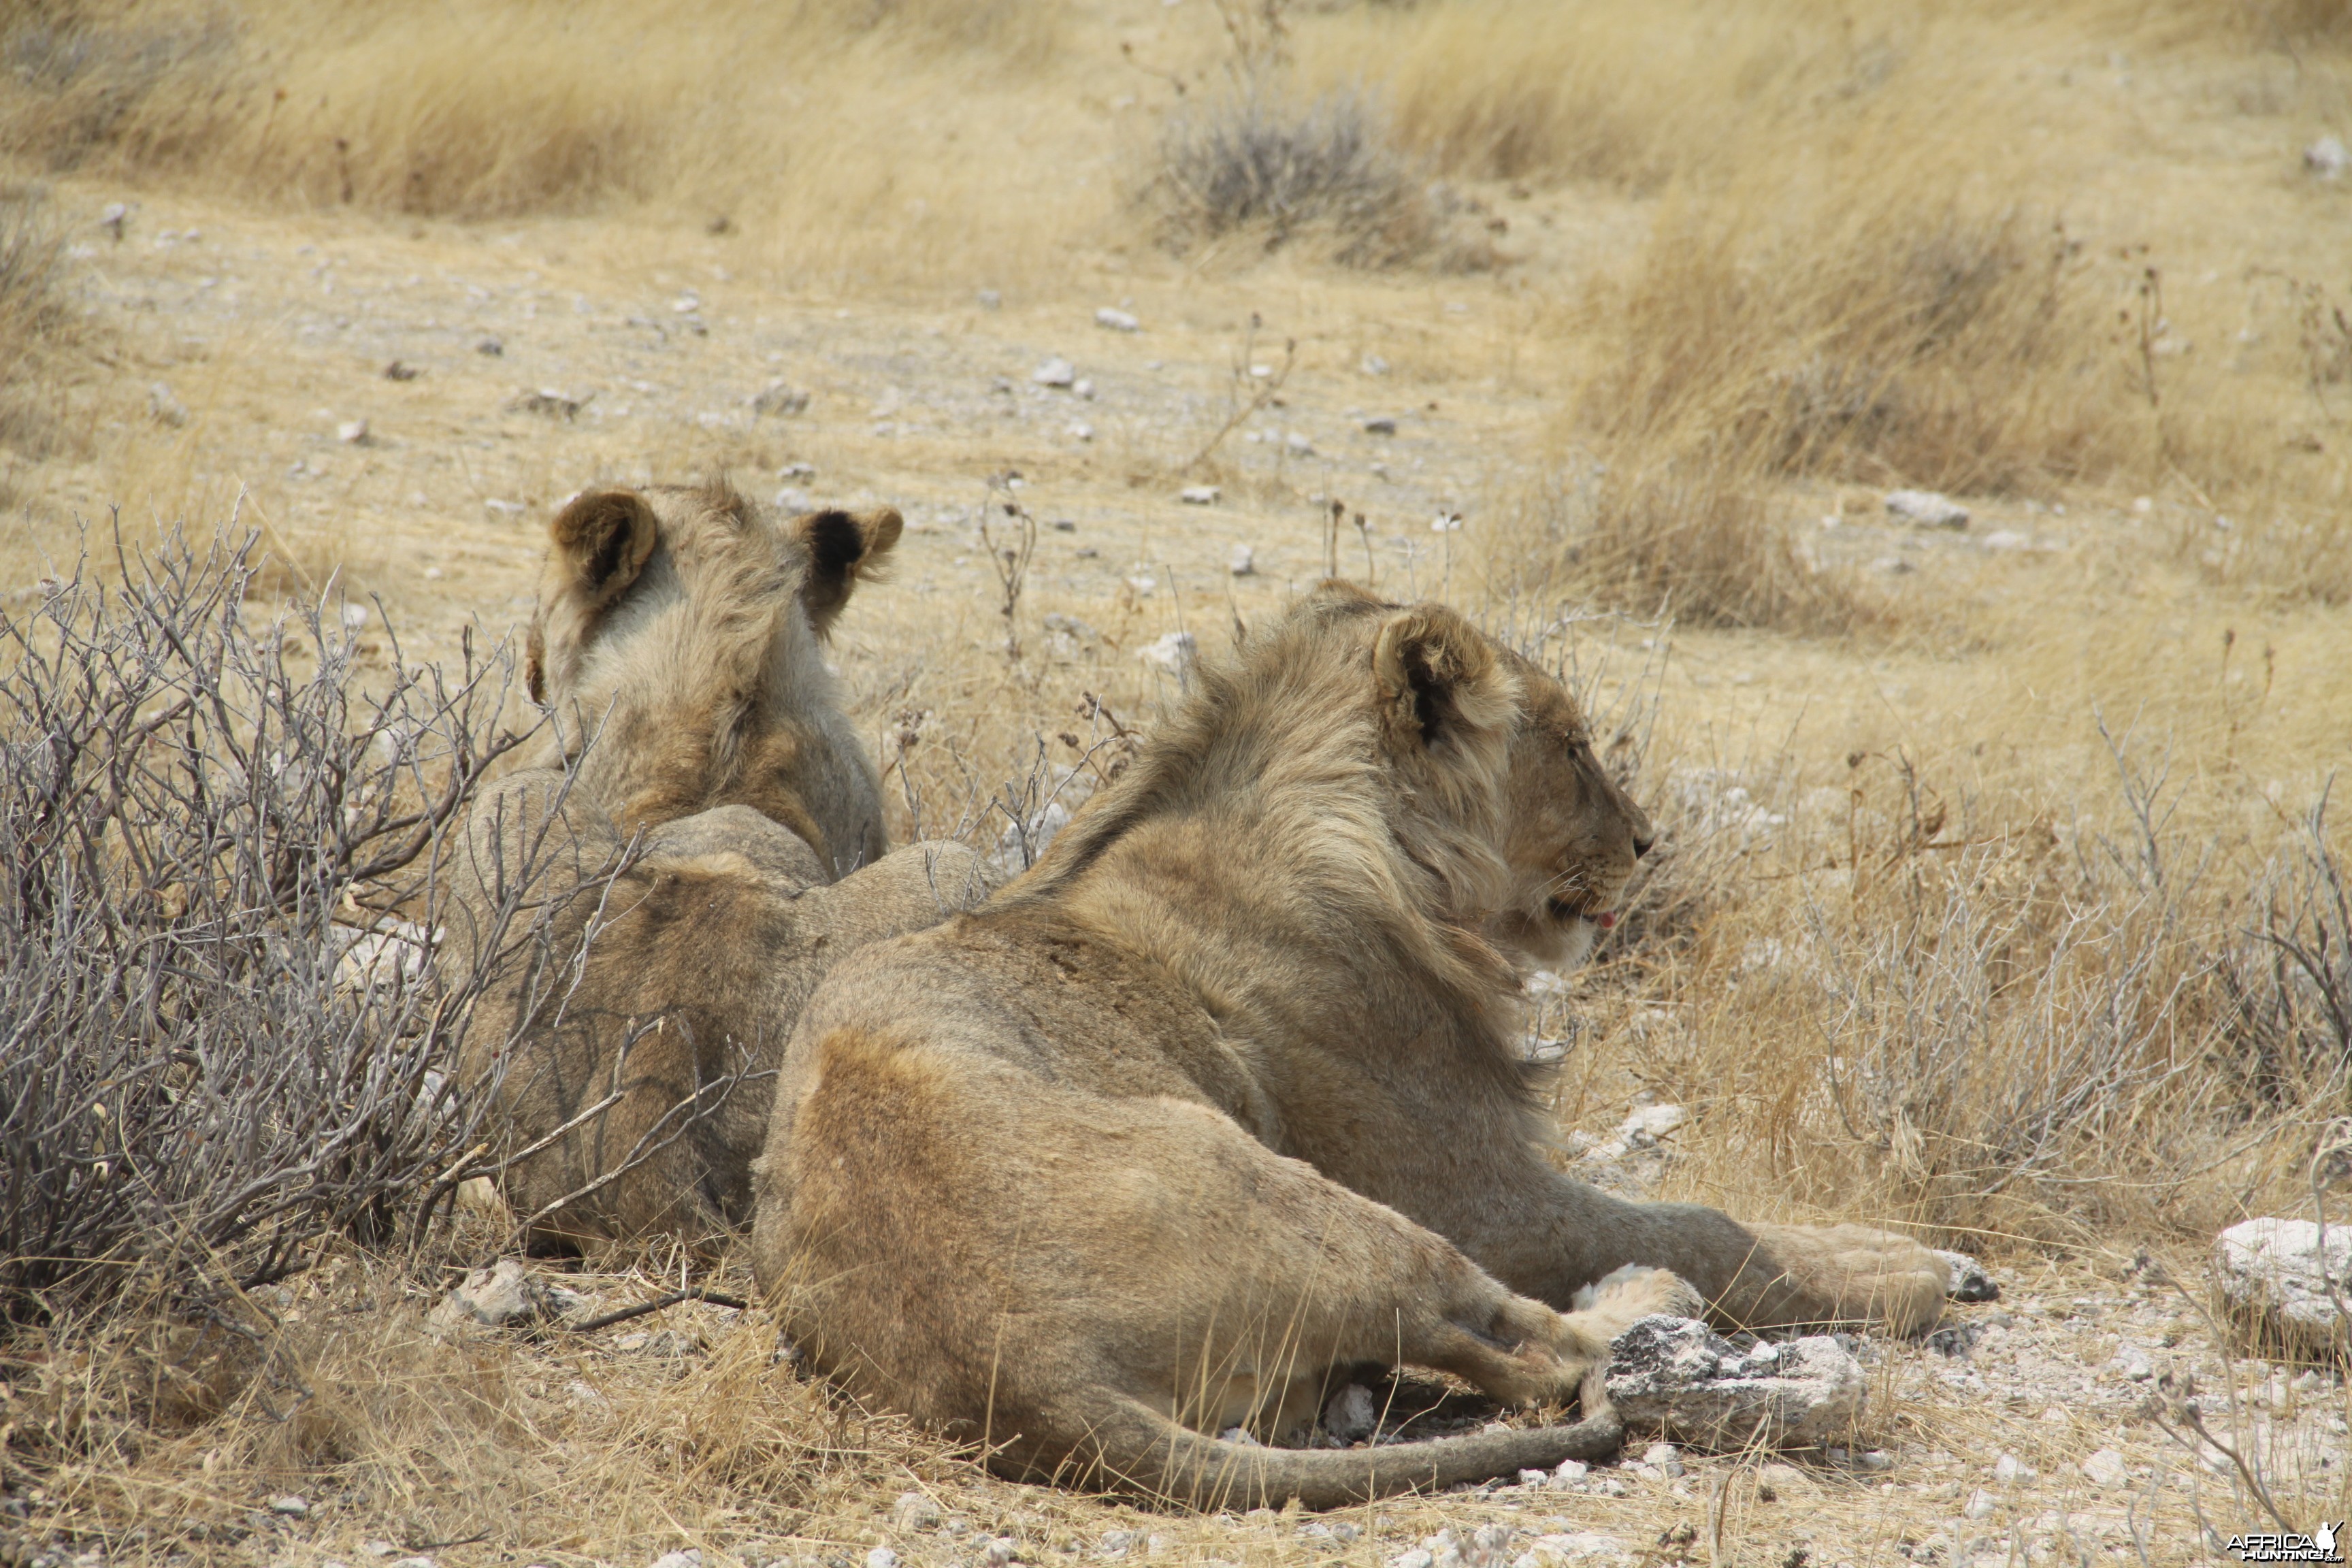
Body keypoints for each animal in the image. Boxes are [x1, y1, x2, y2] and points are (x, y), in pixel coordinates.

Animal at [748, 585, 1947, 1504]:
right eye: (1571, 750)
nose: (1648, 843)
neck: (1375, 850)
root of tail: (1029, 1372)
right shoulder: (1478, 1195)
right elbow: (1711, 1225)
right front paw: (1915, 1267)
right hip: (1318, 1201)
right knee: (1546, 1354)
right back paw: (1643, 1297)